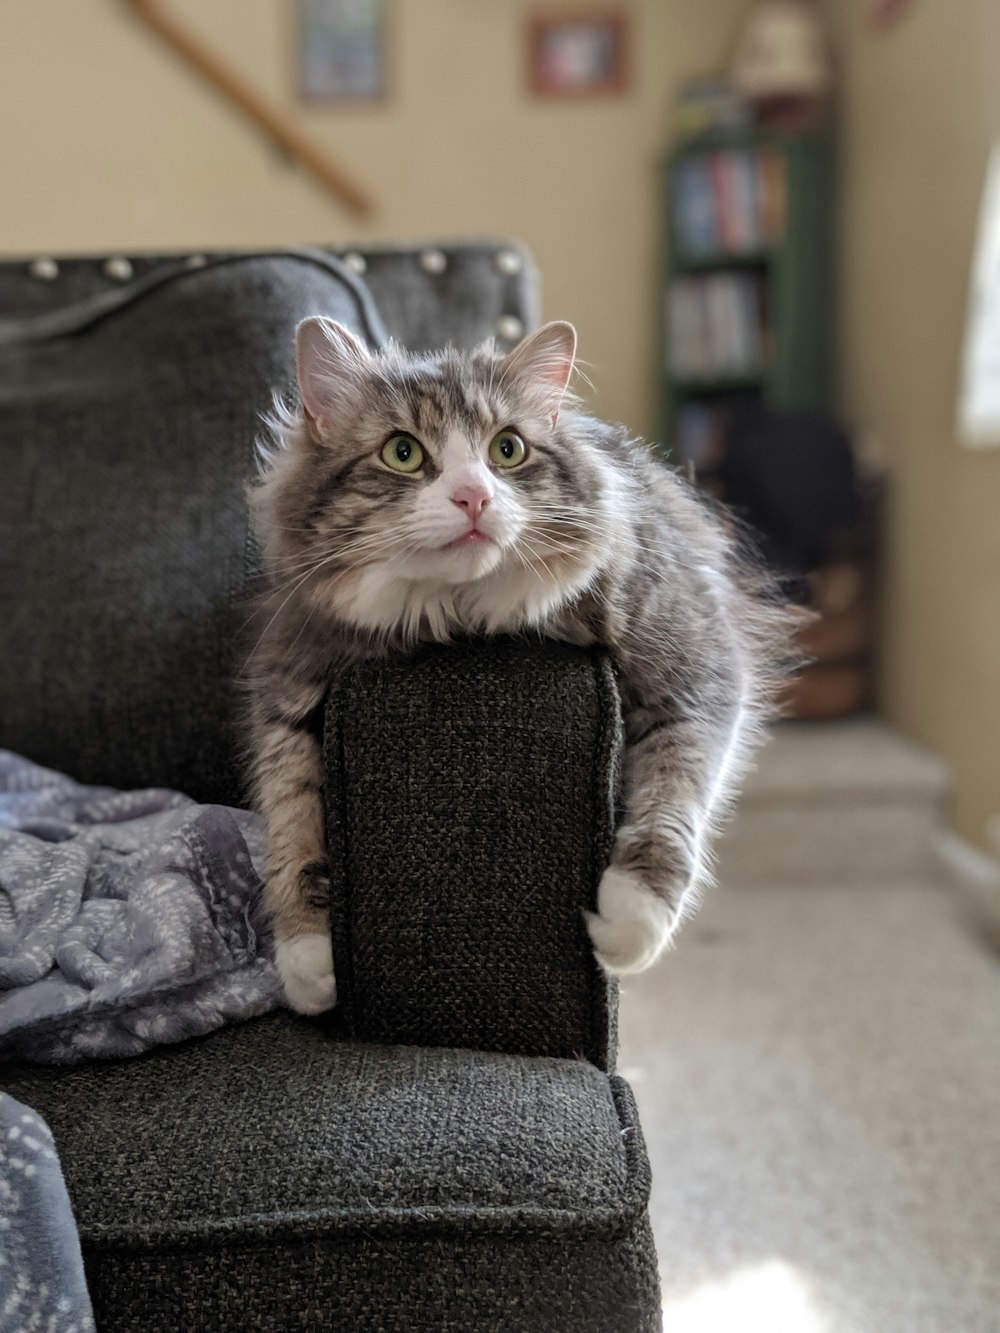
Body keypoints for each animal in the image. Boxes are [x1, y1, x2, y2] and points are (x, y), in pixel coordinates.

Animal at [246, 317, 794, 1013]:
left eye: (507, 450)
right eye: (403, 453)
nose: (474, 497)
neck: (457, 616)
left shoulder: (696, 669)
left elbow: (673, 797)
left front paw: (629, 925)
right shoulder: (290, 676)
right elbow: (291, 822)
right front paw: (309, 964)